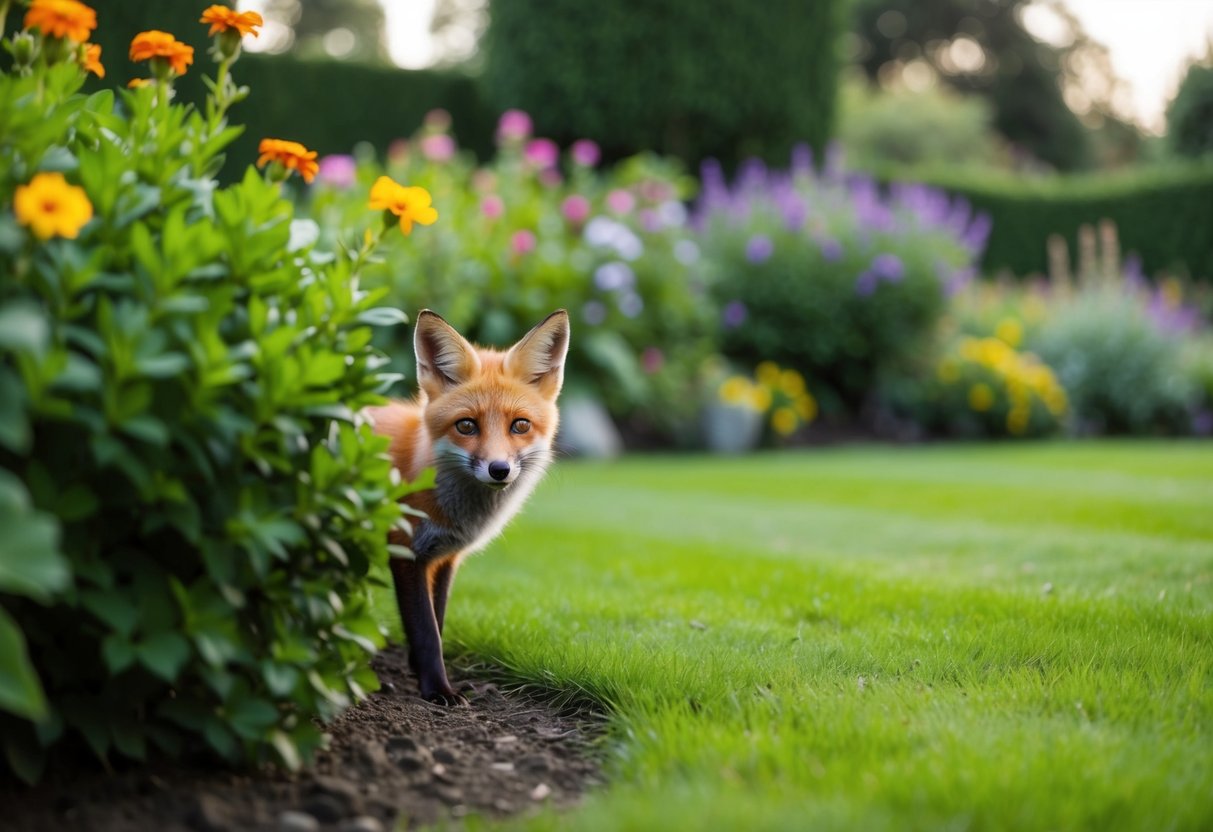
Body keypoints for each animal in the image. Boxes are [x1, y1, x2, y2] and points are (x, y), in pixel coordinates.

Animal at [367, 309, 570, 704]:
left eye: (519, 425)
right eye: (466, 425)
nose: (499, 469)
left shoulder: (445, 556)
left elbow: (438, 618)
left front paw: (417, 670)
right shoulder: (406, 551)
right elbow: (426, 631)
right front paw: (437, 689)